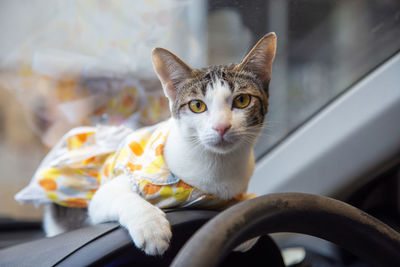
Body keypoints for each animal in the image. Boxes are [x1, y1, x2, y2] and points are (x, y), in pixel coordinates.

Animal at [42, 32, 276, 256]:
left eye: (242, 100)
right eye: (197, 105)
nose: (221, 127)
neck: (216, 167)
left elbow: (253, 198)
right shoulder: (111, 189)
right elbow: (119, 197)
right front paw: (151, 228)